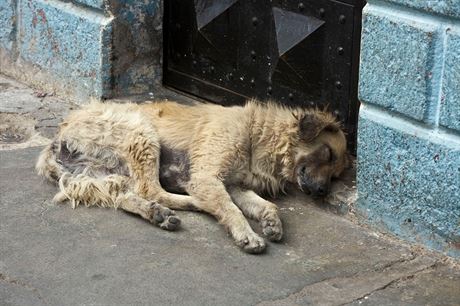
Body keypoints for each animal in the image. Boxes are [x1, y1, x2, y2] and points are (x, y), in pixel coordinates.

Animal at [36, 100, 348, 253]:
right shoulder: (207, 178)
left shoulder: (234, 184)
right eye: (328, 154)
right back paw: (189, 204)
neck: (257, 135)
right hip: (140, 132)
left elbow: (263, 205)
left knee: (128, 196)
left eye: (336, 174)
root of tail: (58, 136)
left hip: (113, 171)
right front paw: (247, 235)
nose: (322, 191)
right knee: (149, 189)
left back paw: (158, 214)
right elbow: (232, 210)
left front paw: (271, 221)